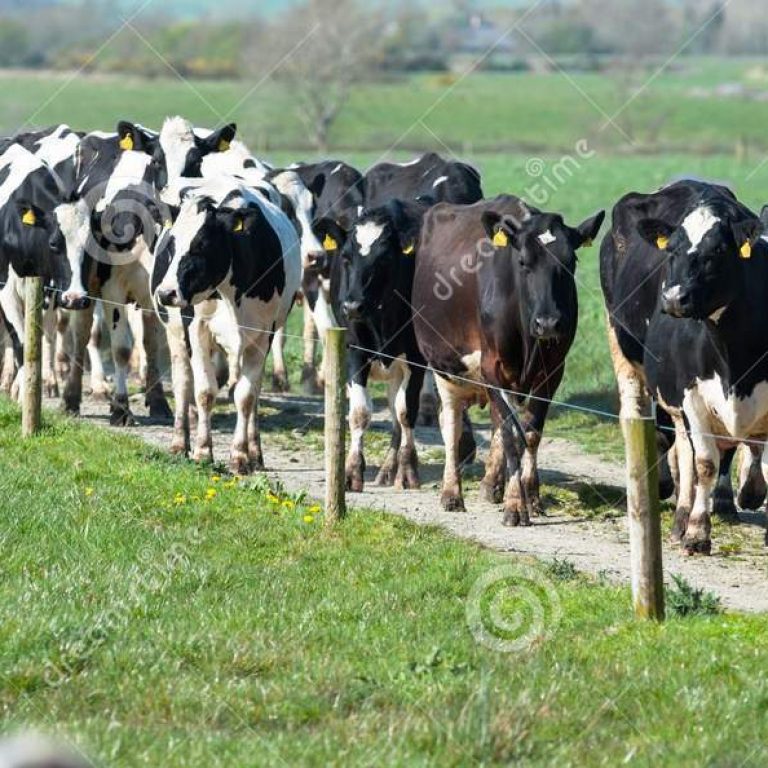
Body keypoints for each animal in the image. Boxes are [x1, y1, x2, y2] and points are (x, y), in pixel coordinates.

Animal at [153, 176, 301, 473]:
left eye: (201, 245)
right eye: (171, 246)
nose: (166, 293)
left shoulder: (262, 334)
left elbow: (246, 396)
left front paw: (241, 456)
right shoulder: (196, 329)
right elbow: (204, 391)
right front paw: (202, 451)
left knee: (253, 394)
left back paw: (255, 453)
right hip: (175, 333)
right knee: (183, 382)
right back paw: (179, 444)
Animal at [313, 198, 433, 492]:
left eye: (385, 259)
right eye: (346, 258)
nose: (352, 306)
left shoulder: (415, 357)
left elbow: (406, 412)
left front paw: (407, 470)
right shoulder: (353, 351)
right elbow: (359, 413)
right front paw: (352, 471)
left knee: (398, 412)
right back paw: (387, 468)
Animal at [413, 195, 605, 525]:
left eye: (570, 263)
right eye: (523, 262)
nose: (548, 323)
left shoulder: (553, 371)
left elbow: (529, 432)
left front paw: (531, 495)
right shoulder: (492, 367)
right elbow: (511, 434)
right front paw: (515, 504)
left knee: (497, 421)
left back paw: (491, 484)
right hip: (443, 366)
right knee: (451, 424)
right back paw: (452, 493)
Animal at [599, 180, 768, 554]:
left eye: (718, 250)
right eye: (672, 250)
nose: (674, 298)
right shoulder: (692, 393)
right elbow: (704, 463)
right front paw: (697, 532)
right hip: (632, 360)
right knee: (671, 441)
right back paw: (676, 512)